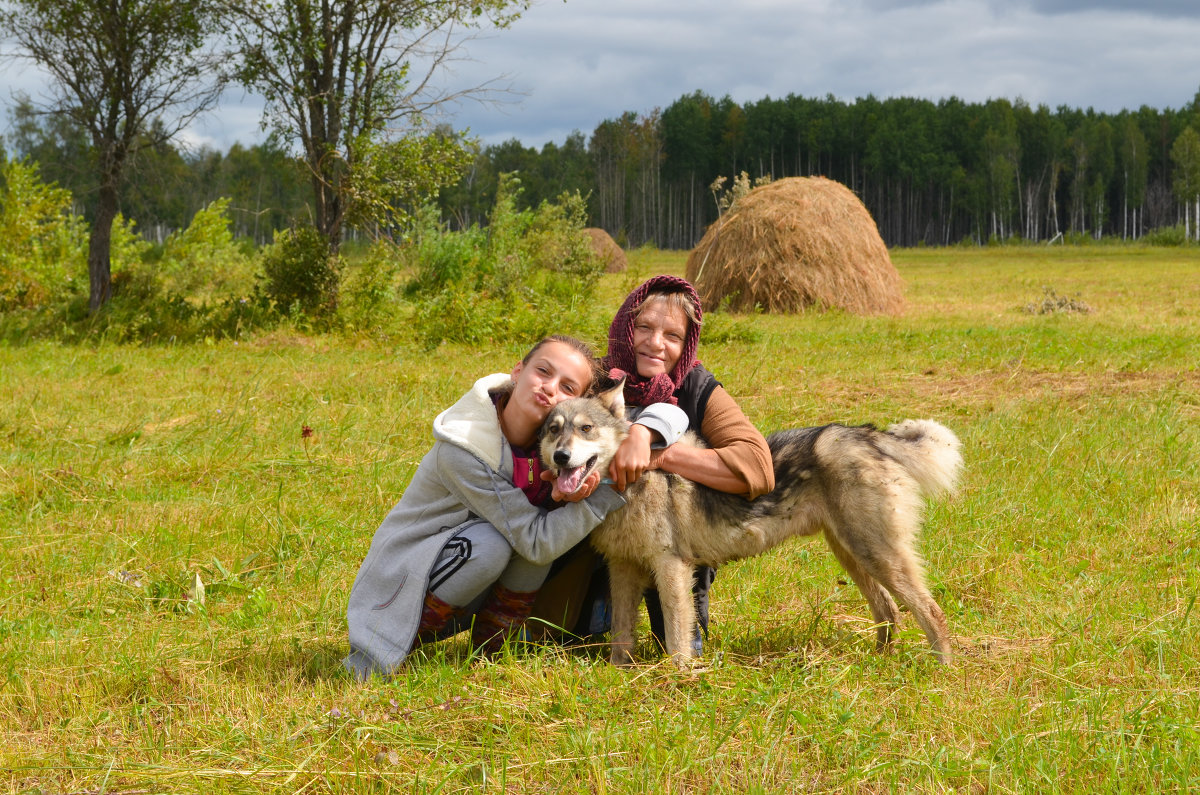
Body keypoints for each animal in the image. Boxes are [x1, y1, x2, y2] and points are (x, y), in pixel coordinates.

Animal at [540, 384, 960, 667]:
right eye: (553, 430)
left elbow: (676, 635)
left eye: (586, 428)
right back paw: (879, 662)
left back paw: (941, 670)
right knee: (889, 612)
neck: (628, 485)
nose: (561, 457)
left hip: (876, 555)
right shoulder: (623, 569)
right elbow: (622, 635)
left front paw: (678, 678)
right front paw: (620, 674)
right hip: (854, 556)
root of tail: (866, 433)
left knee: (931, 611)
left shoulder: (671, 567)